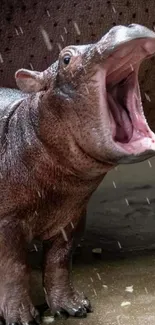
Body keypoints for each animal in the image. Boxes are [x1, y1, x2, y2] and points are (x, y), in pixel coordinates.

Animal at [0, 23, 155, 322]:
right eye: (66, 58)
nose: (125, 25)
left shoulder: (72, 216)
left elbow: (59, 261)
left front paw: (75, 307)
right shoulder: (6, 222)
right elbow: (14, 268)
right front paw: (21, 318)